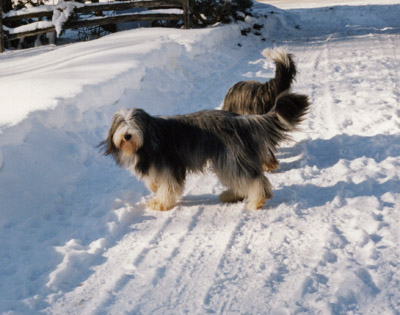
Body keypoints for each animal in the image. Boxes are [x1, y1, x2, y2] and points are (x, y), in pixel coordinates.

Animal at [101, 94, 310, 212]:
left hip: (231, 156)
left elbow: (168, 187)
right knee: (239, 178)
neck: (148, 139)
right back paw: (231, 195)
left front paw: (160, 204)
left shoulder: (169, 166)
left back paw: (257, 201)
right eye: (121, 123)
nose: (127, 135)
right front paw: (155, 190)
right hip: (227, 159)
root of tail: (240, 120)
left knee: (254, 179)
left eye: (135, 123)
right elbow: (153, 182)